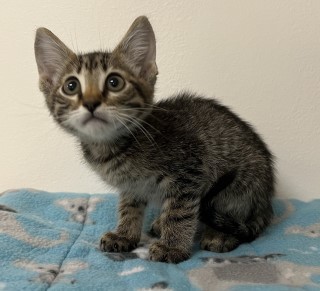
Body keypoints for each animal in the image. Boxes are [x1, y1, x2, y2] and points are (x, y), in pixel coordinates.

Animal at [35, 16, 276, 264]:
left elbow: (179, 213)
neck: (112, 147)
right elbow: (129, 208)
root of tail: (266, 201)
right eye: (71, 86)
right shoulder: (131, 187)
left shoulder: (189, 170)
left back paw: (220, 234)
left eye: (114, 82)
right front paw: (125, 234)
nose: (91, 103)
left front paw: (173, 246)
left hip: (239, 185)